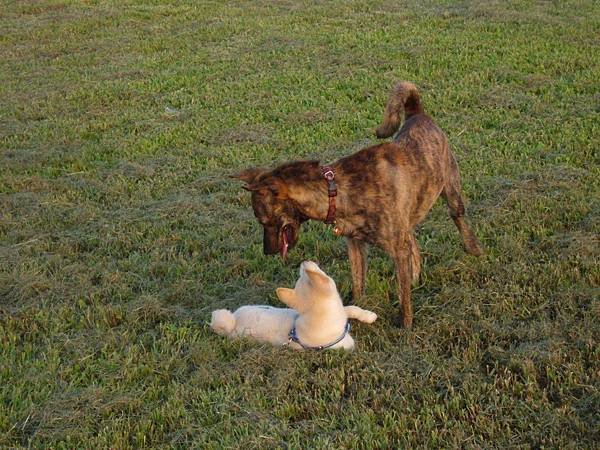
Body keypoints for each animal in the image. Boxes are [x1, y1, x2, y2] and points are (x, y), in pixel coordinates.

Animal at [211, 260, 378, 352]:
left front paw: (369, 316)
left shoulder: (342, 311)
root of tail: (233, 322)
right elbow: (351, 341)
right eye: (310, 271)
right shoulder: (342, 342)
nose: (304, 261)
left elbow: (352, 309)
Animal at [232, 81, 480, 326]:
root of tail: (417, 114)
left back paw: (474, 253)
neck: (336, 189)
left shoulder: (397, 250)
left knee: (458, 221)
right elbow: (358, 283)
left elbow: (403, 296)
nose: (266, 252)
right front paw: (357, 313)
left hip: (452, 192)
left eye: (263, 220)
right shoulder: (355, 244)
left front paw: (405, 325)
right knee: (414, 245)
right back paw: (416, 279)